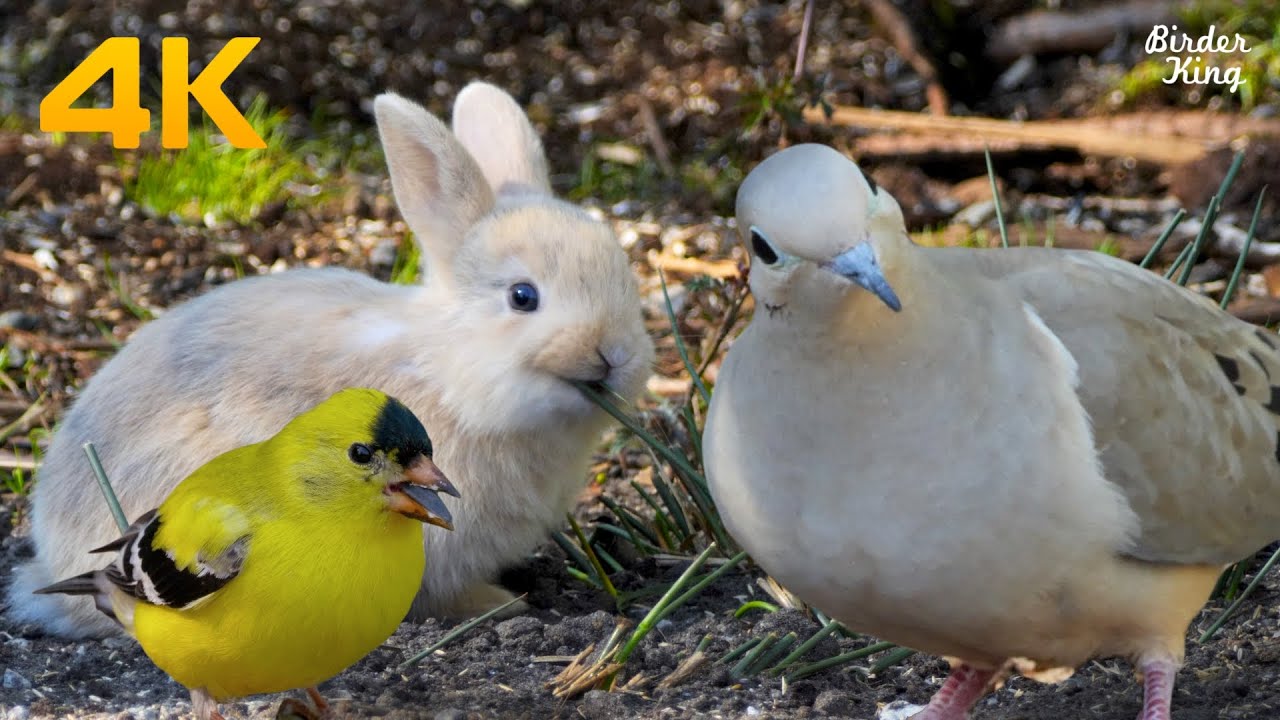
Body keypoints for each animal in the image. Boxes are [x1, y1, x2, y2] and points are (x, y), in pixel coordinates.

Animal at [5, 81, 655, 635]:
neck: (446, 371)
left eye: (624, 275)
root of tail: (51, 552)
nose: (615, 353)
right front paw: (498, 603)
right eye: (523, 297)